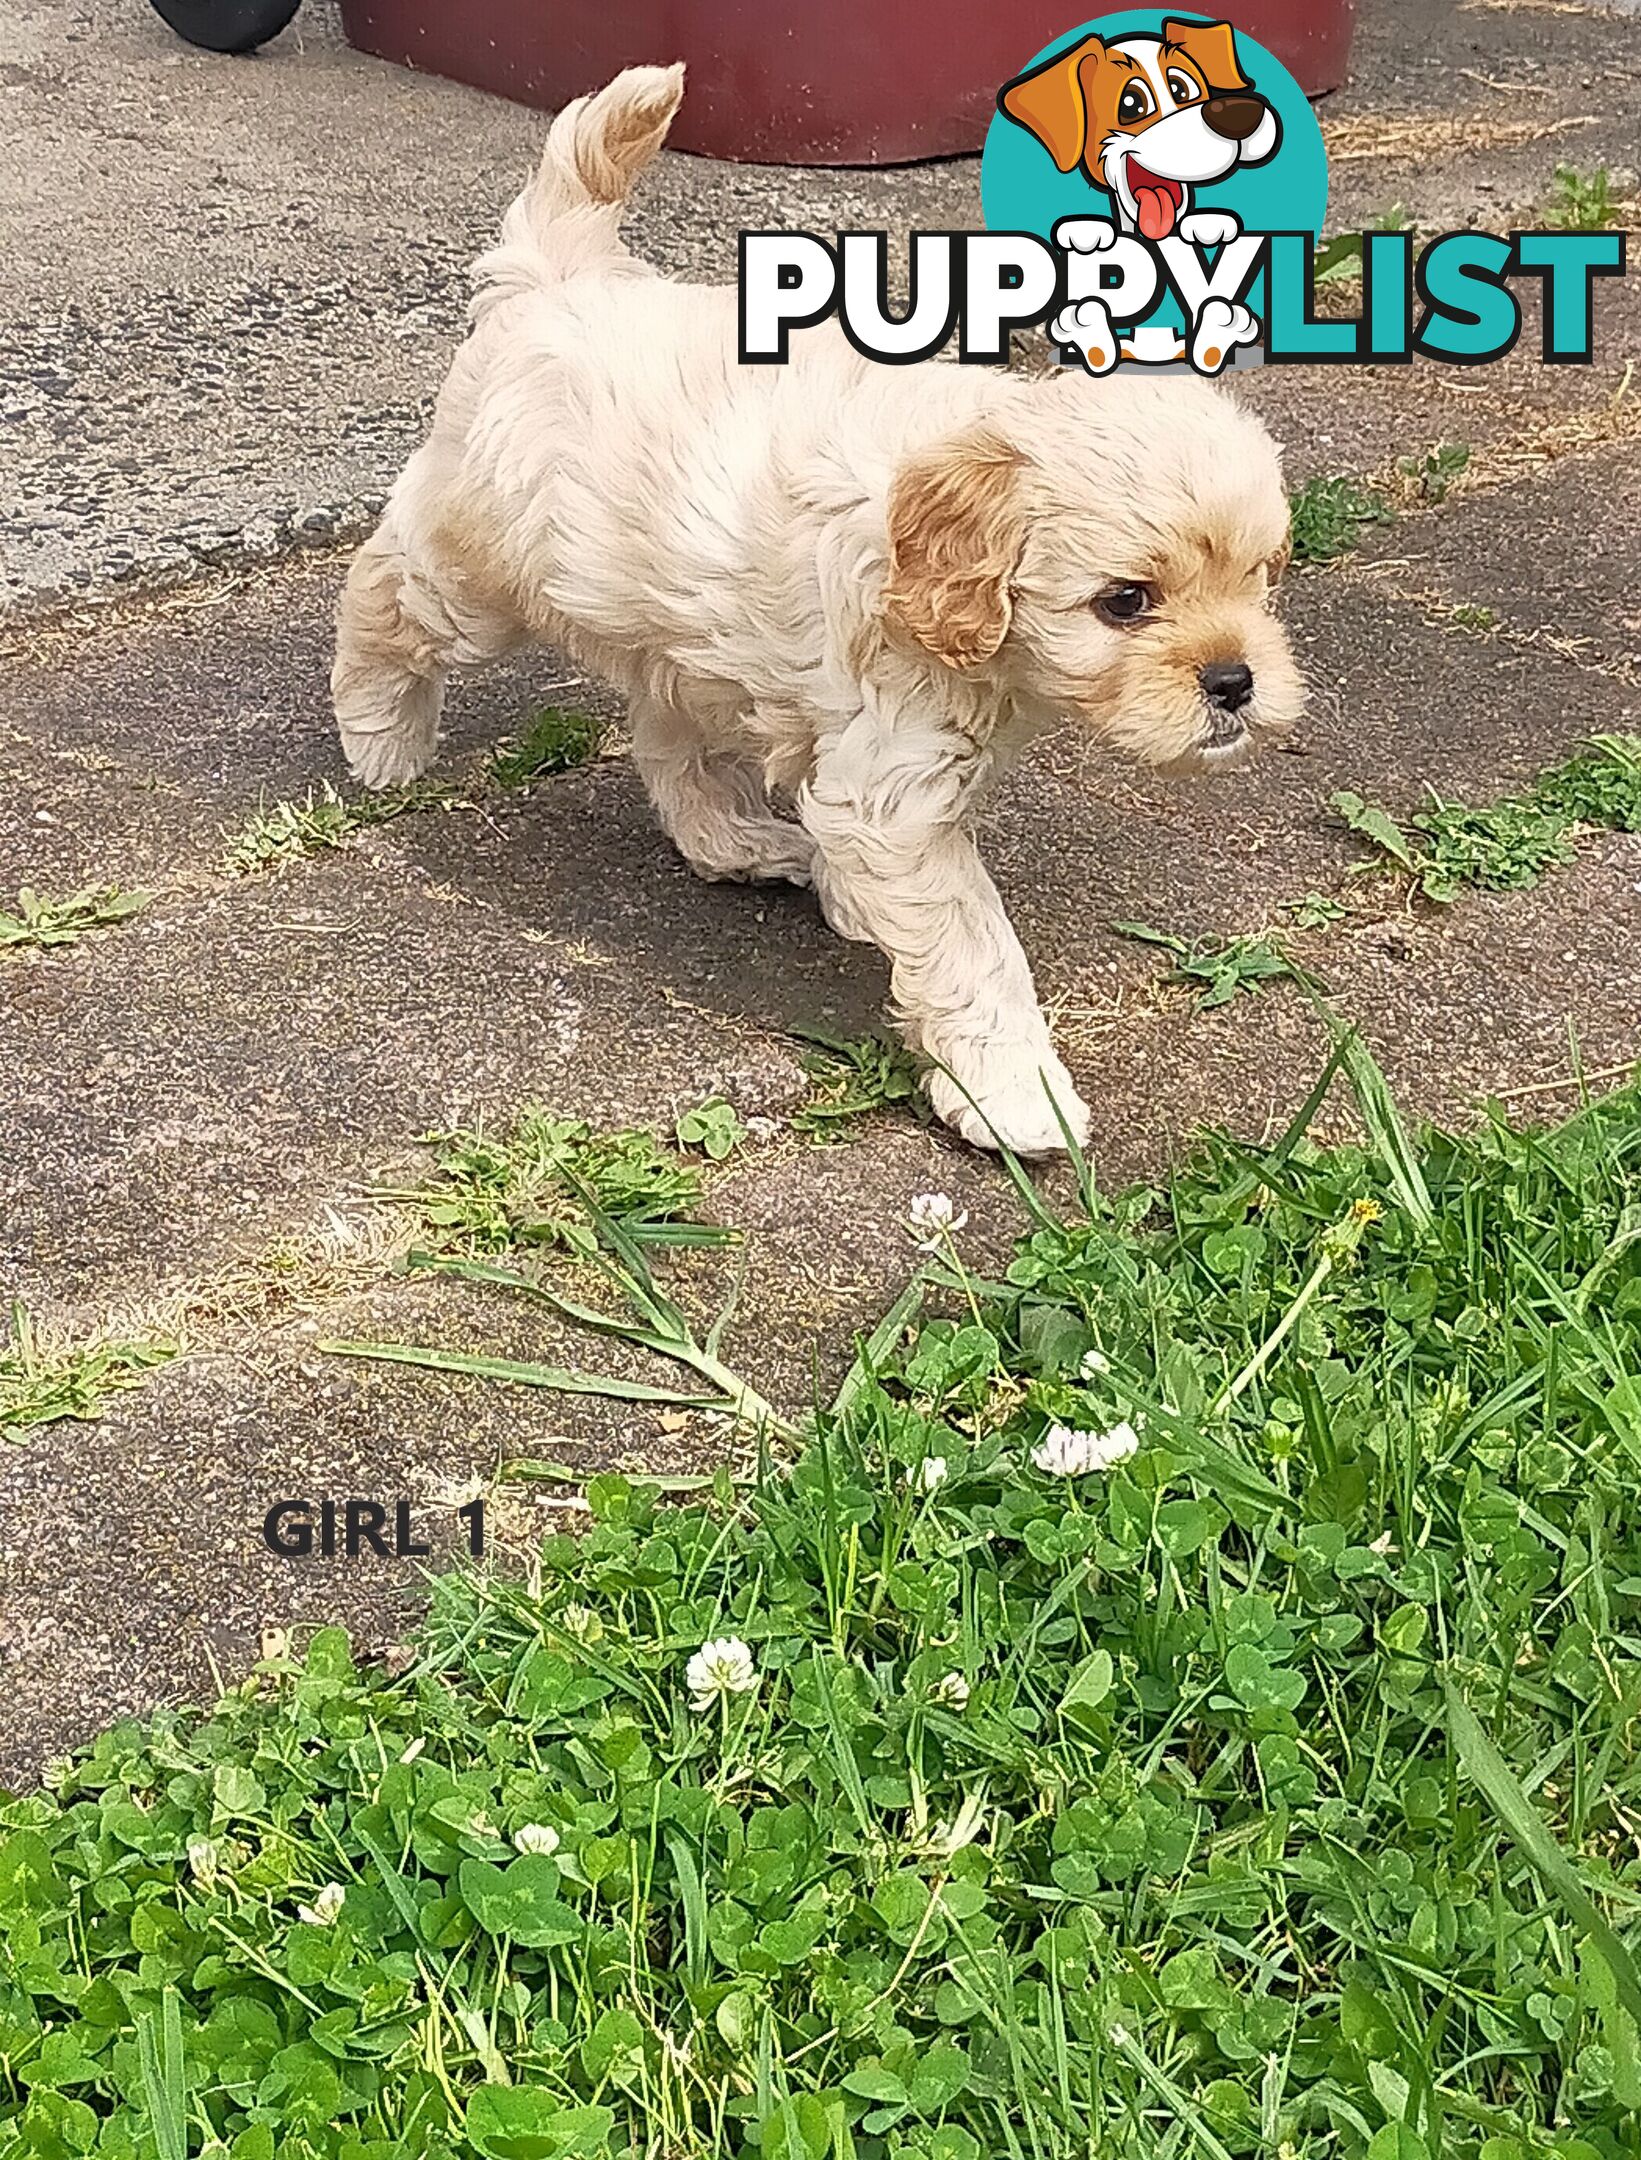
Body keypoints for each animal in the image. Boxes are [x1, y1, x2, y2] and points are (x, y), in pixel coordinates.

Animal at [336, 67, 1304, 1157]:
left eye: (1260, 579)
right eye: (1126, 603)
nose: (1235, 681)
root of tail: (558, 279)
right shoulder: (898, 789)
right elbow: (973, 942)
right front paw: (1013, 1091)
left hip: (679, 633)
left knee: (667, 741)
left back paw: (737, 842)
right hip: (483, 569)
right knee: (384, 588)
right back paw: (378, 735)